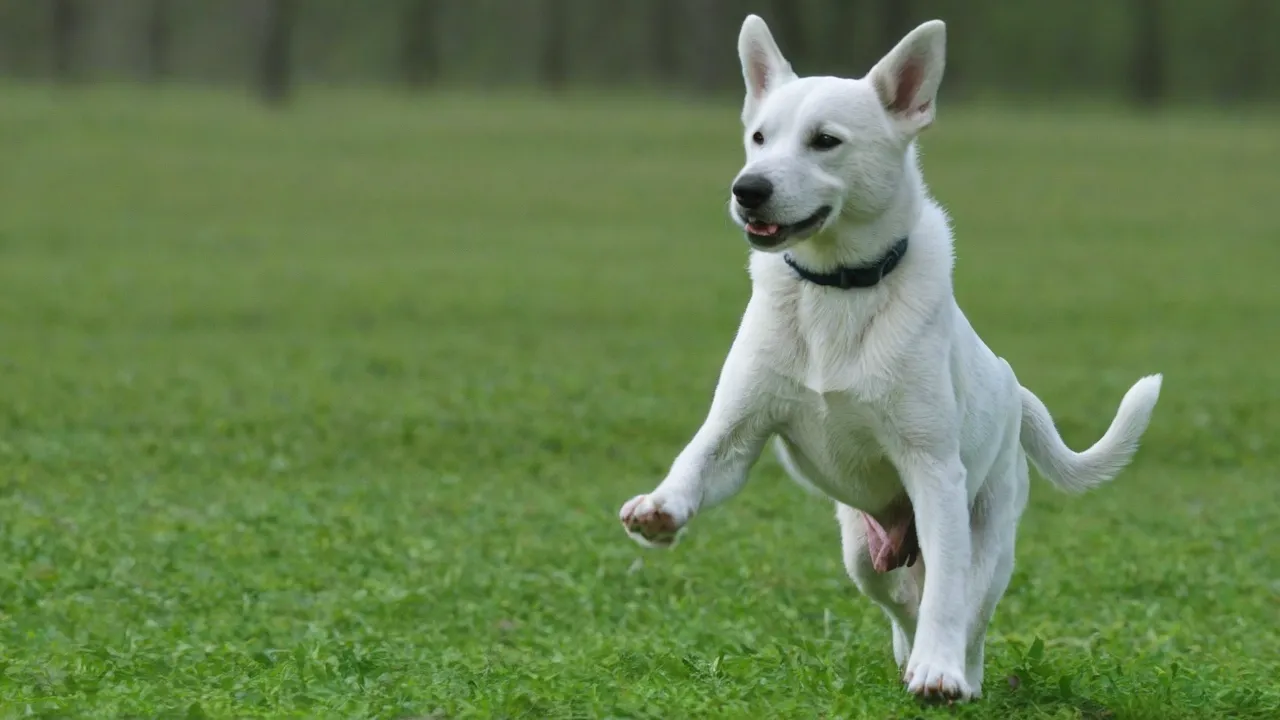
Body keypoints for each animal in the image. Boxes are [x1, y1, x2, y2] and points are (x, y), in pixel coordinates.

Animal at [614, 14, 1167, 702]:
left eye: (825, 141)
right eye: (759, 137)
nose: (748, 189)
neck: (838, 288)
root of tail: (1015, 390)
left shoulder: (933, 472)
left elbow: (947, 599)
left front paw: (940, 672)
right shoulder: (739, 428)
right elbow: (698, 459)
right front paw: (660, 510)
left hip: (988, 540)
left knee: (963, 610)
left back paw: (955, 671)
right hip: (860, 552)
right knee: (901, 602)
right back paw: (909, 656)